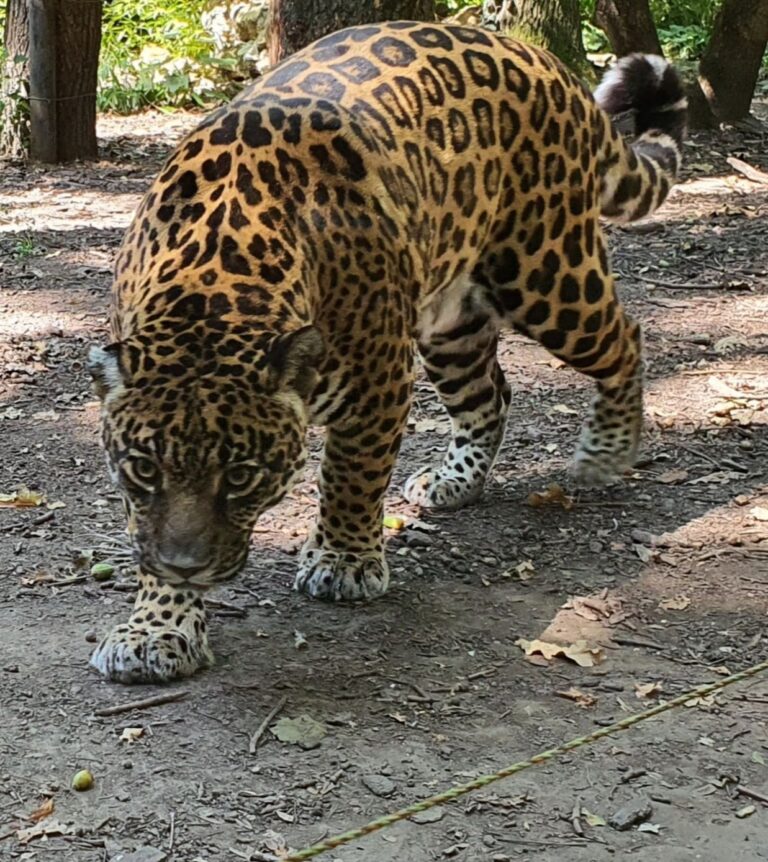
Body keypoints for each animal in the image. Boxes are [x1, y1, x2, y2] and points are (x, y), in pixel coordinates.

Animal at [87, 20, 687, 683]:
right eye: (145, 468)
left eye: (241, 475)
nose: (185, 564)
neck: (211, 290)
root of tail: (544, 61)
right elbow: (146, 528)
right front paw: (157, 626)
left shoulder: (378, 381)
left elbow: (352, 474)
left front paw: (343, 562)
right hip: (452, 320)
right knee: (490, 394)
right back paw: (454, 481)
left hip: (547, 275)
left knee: (624, 336)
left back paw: (606, 453)